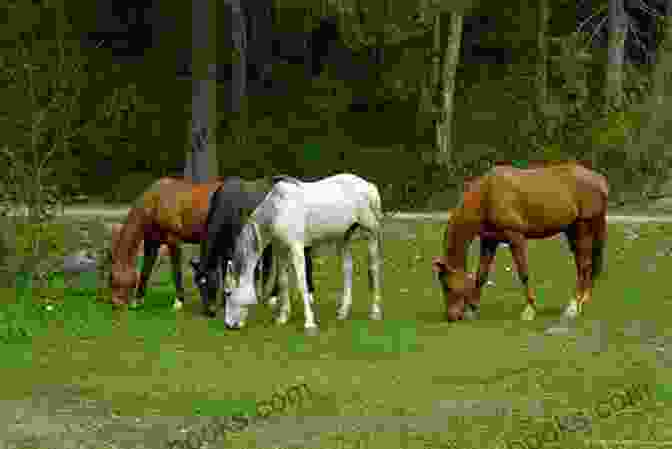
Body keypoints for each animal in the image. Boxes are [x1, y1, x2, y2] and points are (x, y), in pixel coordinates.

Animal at [109, 177, 223, 306]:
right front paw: (137, 300)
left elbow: (176, 271)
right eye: (110, 277)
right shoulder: (151, 242)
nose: (115, 302)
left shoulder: (173, 240)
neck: (156, 202)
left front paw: (179, 301)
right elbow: (146, 269)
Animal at [189, 177, 316, 316]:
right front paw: (224, 302)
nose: (209, 311)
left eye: (211, 281)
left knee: (304, 259)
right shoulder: (224, 249)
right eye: (198, 285)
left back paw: (307, 294)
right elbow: (225, 271)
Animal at [224, 173, 384, 330]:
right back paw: (343, 312)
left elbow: (302, 283)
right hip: (344, 237)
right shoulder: (281, 250)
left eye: (228, 293)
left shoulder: (297, 248)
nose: (229, 325)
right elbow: (283, 281)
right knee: (348, 268)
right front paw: (283, 317)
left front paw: (309, 323)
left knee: (374, 268)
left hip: (371, 232)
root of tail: (368, 185)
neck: (278, 210)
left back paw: (375, 312)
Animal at [430, 161, 608, 322]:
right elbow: (482, 274)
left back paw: (573, 307)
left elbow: (523, 273)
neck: (487, 195)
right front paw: (472, 310)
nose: (451, 317)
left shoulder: (515, 237)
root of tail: (599, 180)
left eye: (447, 285)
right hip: (572, 230)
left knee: (584, 265)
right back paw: (581, 301)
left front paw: (529, 310)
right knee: (583, 264)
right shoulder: (490, 240)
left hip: (582, 227)